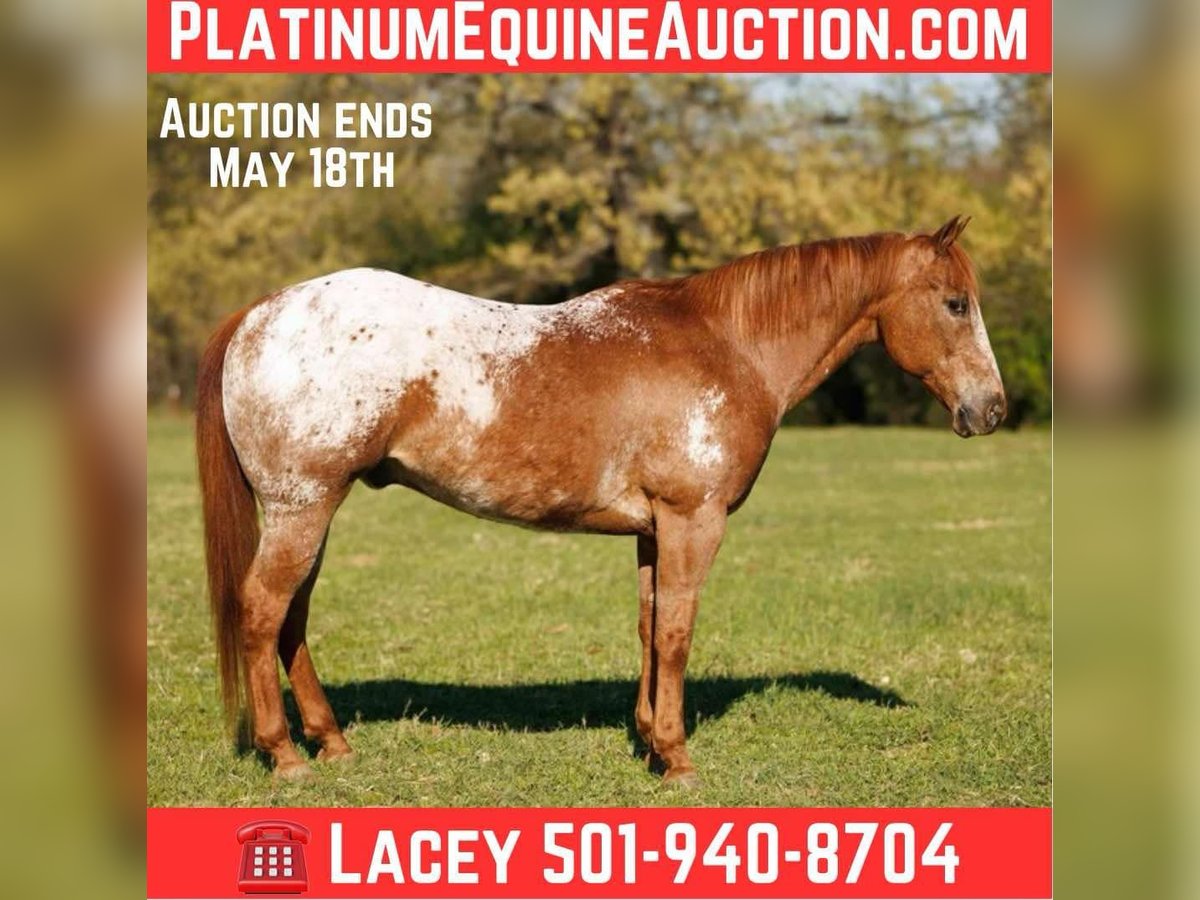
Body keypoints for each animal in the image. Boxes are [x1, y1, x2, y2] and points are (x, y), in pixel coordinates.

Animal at [196, 214, 1005, 786]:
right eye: (955, 303)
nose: (992, 409)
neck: (730, 346)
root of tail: (259, 313)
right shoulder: (692, 521)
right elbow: (676, 633)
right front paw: (677, 759)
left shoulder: (653, 531)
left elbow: (648, 629)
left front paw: (647, 741)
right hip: (302, 509)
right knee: (263, 612)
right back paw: (285, 756)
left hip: (311, 512)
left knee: (292, 620)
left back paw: (332, 744)